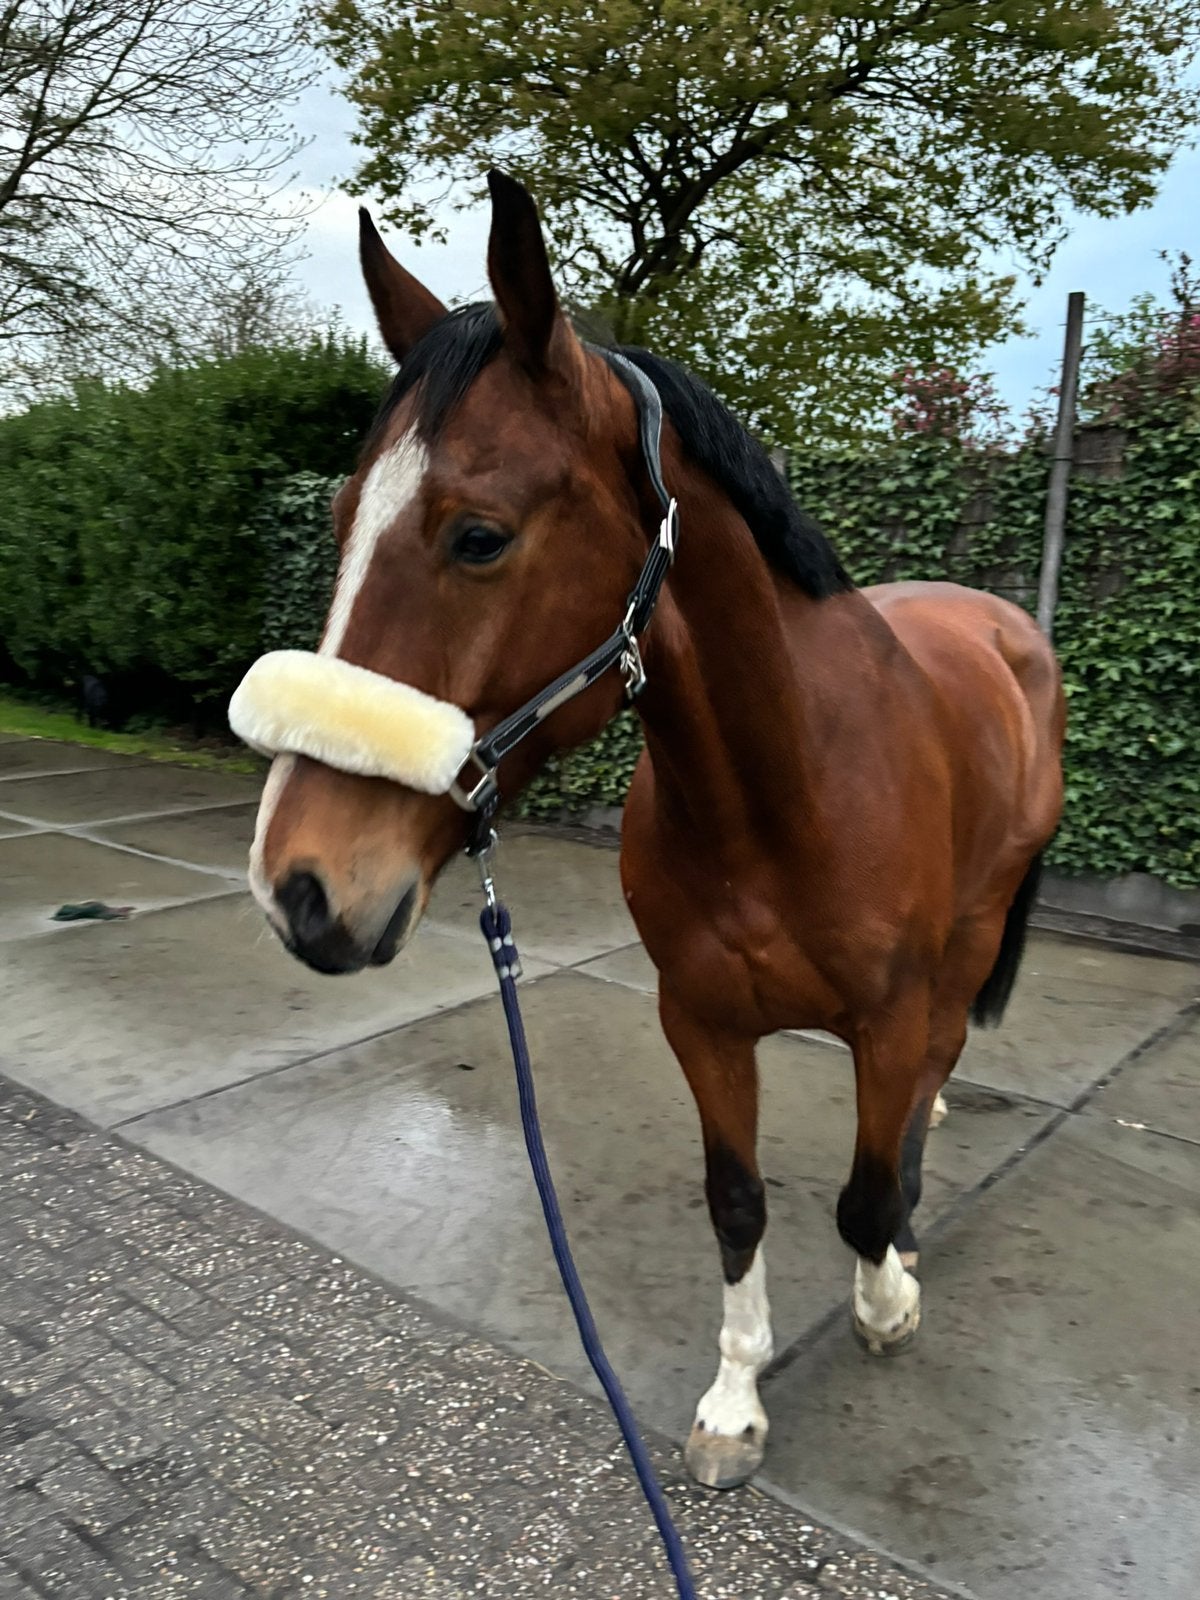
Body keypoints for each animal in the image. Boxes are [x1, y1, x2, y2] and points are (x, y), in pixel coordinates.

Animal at [238, 170, 1065, 1491]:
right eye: (336, 517)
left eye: (479, 533)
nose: (303, 887)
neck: (785, 795)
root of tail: (999, 621)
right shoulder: (701, 1021)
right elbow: (736, 1201)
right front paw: (734, 1403)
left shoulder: (885, 1016)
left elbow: (862, 1194)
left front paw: (885, 1297)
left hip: (977, 930)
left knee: (935, 1066)